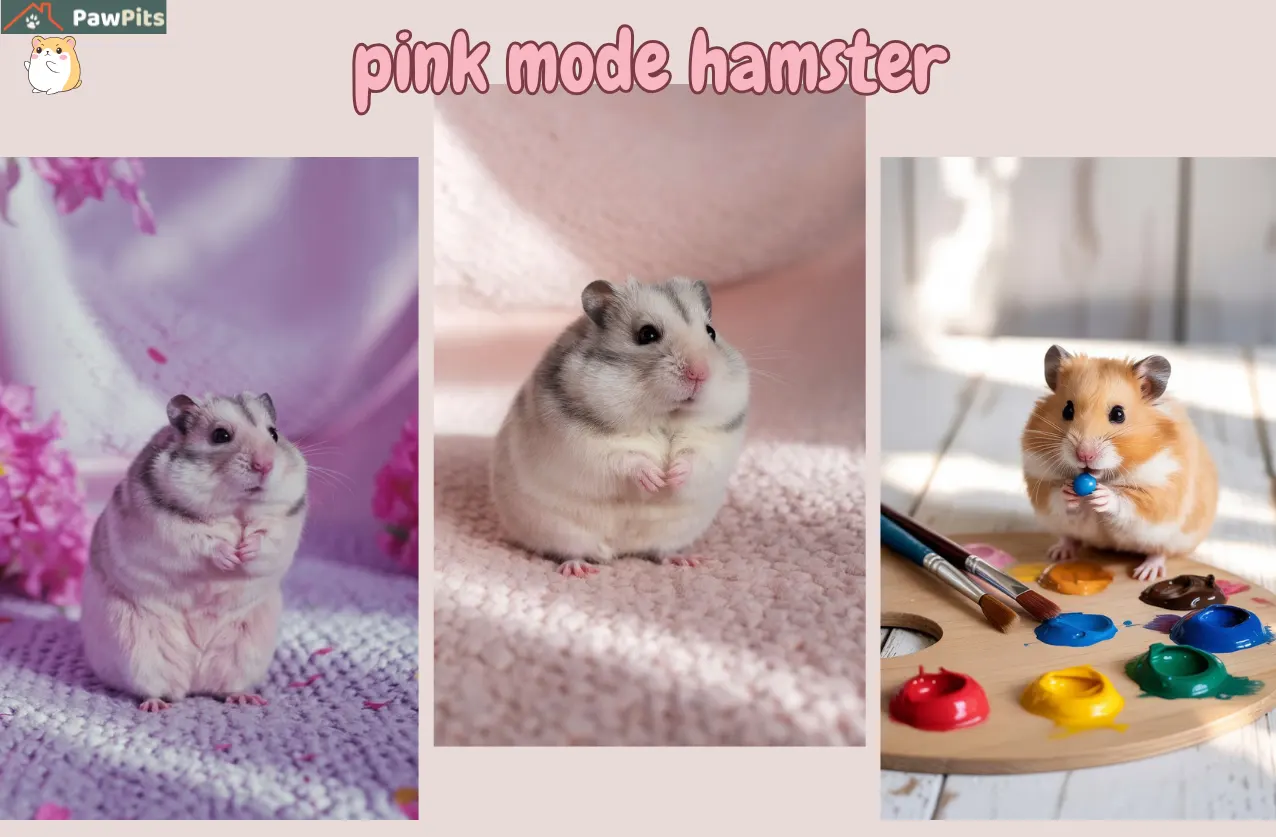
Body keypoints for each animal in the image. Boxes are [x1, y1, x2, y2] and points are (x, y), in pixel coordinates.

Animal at [80, 392, 308, 711]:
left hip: (244, 654)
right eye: (220, 435)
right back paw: (155, 706)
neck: (236, 507)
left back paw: (245, 699)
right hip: (138, 653)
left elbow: (265, 538)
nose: (265, 465)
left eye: (274, 434)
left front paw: (244, 550)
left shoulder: (284, 521)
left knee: (226, 687)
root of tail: (195, 682)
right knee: (153, 688)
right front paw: (231, 555)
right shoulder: (170, 528)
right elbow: (203, 540)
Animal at [490, 277, 750, 577]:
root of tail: (622, 551)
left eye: (711, 332)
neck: (665, 417)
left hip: (673, 533)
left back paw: (687, 560)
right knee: (571, 552)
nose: (700, 373)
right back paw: (579, 570)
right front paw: (656, 478)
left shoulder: (715, 440)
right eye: (647, 334)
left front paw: (671, 476)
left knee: (661, 551)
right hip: (558, 530)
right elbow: (626, 458)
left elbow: (695, 458)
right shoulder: (586, 446)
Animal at [1021, 345, 1218, 582]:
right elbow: (1055, 495)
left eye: (1118, 414)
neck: (1102, 476)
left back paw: (1146, 573)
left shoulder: (1160, 492)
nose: (1084, 455)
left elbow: (1127, 502)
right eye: (1067, 410)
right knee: (1071, 538)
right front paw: (1069, 492)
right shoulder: (1039, 479)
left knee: (1160, 552)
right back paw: (1058, 552)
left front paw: (1102, 496)